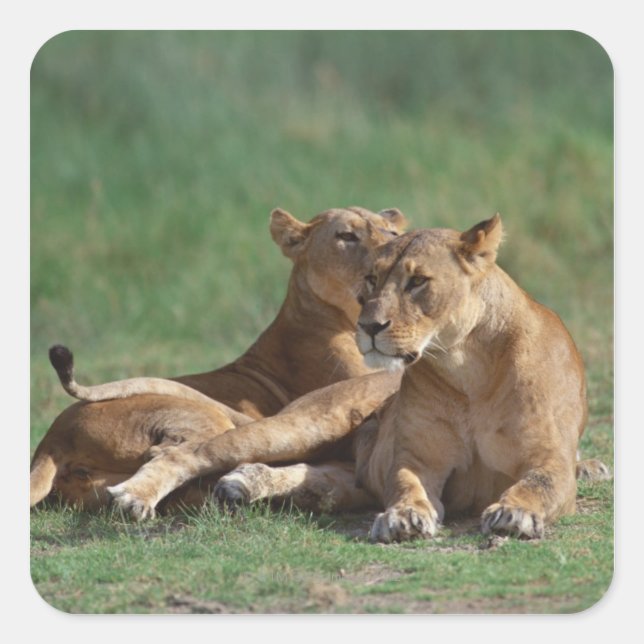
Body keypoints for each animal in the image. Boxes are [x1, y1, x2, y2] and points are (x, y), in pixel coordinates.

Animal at [102, 215, 609, 526]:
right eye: (371, 279)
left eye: (417, 281)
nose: (368, 325)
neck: (468, 368)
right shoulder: (419, 460)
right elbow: (408, 486)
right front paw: (405, 518)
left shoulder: (549, 458)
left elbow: (540, 484)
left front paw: (514, 513)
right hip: (304, 424)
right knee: (190, 452)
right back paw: (135, 497)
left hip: (347, 470)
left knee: (318, 475)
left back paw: (246, 484)